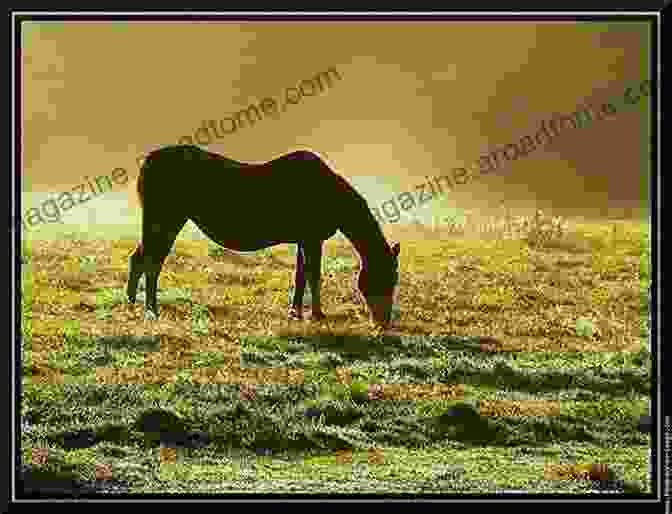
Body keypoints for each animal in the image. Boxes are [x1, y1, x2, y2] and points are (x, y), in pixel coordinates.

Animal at [126, 145, 400, 324]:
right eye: (384, 279)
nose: (383, 323)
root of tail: (147, 161)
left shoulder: (304, 239)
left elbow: (301, 275)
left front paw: (296, 312)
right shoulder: (312, 238)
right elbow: (313, 276)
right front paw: (317, 315)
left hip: (161, 220)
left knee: (139, 258)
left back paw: (131, 303)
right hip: (165, 218)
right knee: (151, 261)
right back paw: (151, 310)